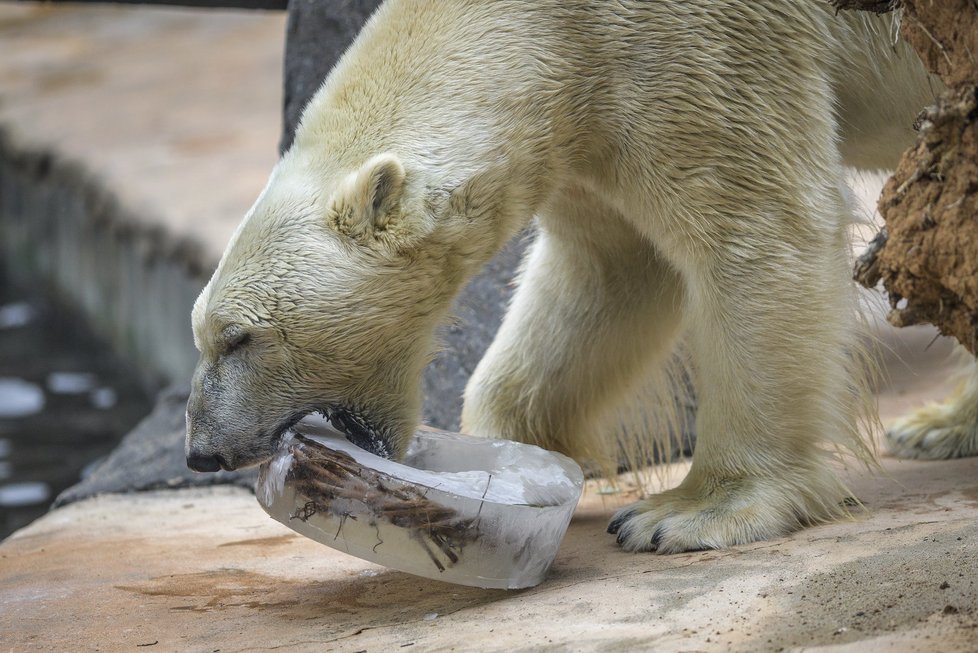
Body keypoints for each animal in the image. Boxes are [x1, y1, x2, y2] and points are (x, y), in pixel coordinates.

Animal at [185, 0, 936, 552]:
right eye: (204, 333)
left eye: (239, 337)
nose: (201, 452)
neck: (559, 25)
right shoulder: (587, 129)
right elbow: (609, 276)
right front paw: (511, 460)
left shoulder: (704, 50)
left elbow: (759, 224)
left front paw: (687, 512)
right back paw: (938, 425)